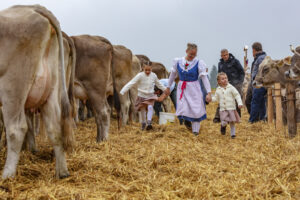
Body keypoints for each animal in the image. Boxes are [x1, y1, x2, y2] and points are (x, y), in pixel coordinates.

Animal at [0, 5, 74, 180]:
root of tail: (32, 7)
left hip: (13, 86)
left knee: (16, 129)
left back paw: (7, 176)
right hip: (50, 90)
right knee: (55, 128)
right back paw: (62, 172)